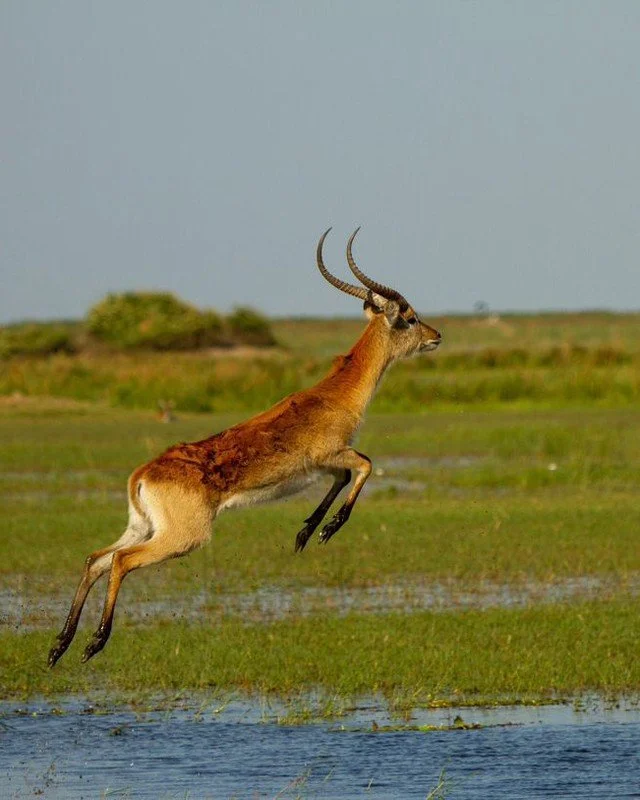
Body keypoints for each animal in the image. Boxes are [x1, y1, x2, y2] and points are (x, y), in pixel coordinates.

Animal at [48, 228, 442, 667]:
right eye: (409, 317)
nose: (436, 336)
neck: (335, 396)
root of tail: (142, 474)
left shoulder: (322, 466)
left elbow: (342, 477)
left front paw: (306, 533)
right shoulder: (331, 454)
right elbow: (366, 465)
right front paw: (327, 529)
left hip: (141, 526)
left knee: (95, 559)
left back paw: (59, 647)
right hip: (182, 538)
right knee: (120, 561)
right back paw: (94, 643)